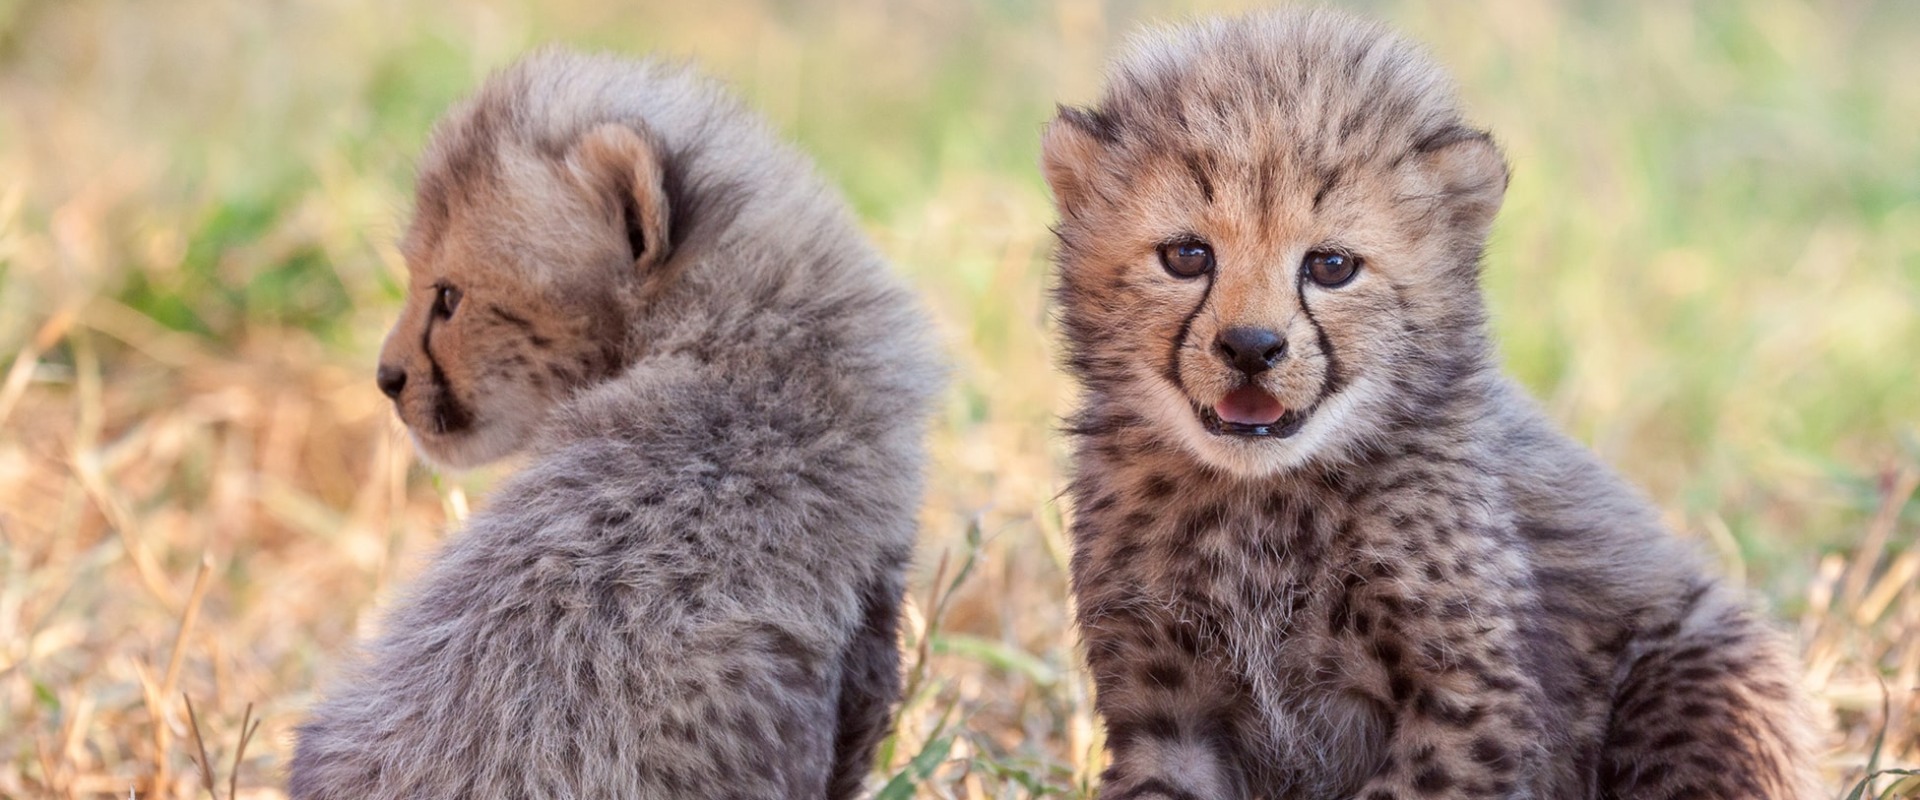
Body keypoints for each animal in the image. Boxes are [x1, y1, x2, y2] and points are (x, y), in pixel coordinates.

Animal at [1041, 10, 1821, 800]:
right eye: (1187, 256)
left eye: (1331, 266)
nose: (1251, 347)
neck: (1261, 501)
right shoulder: (1167, 715)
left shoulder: (1467, 697)